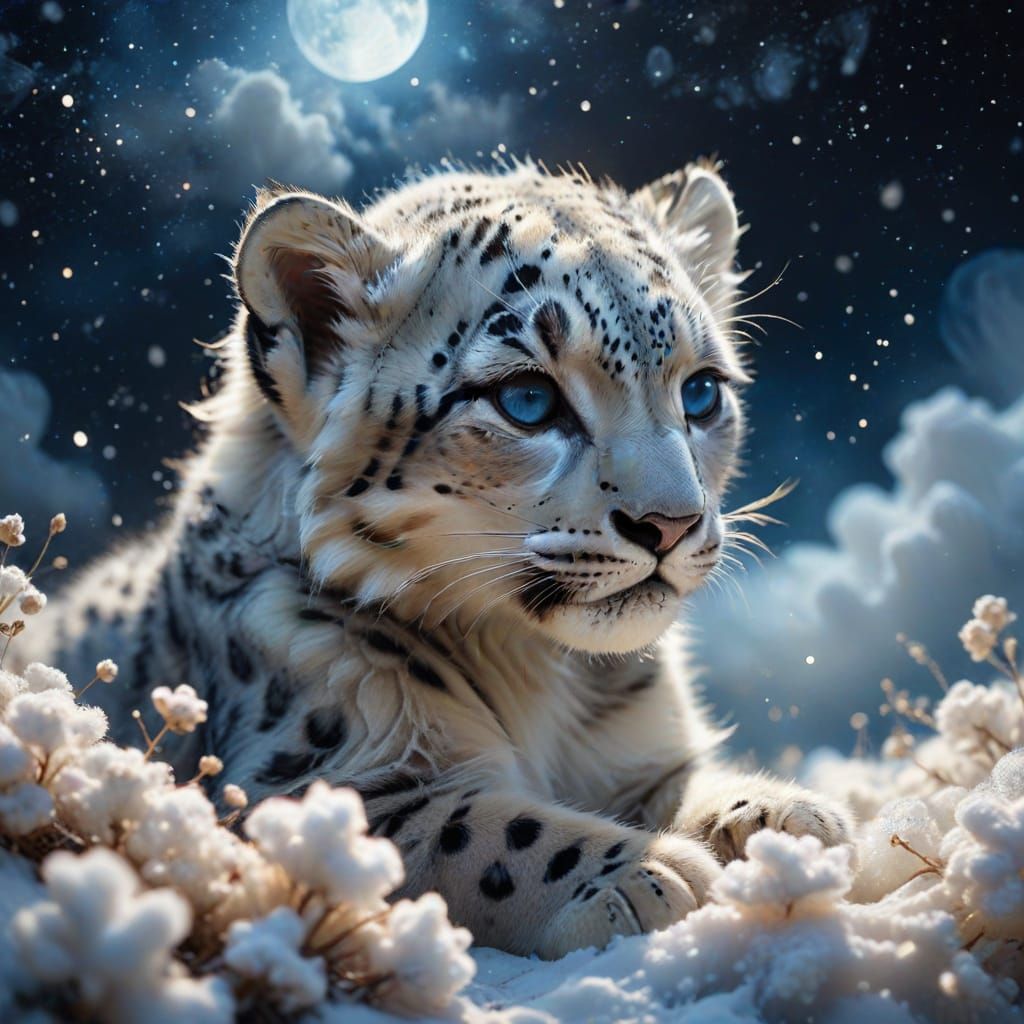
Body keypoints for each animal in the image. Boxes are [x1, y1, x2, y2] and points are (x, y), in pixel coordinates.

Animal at [24, 160, 852, 959]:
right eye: (527, 400)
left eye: (702, 390)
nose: (672, 523)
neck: (545, 678)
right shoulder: (314, 781)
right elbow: (485, 829)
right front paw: (651, 873)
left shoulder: (641, 756)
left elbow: (680, 785)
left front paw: (785, 821)